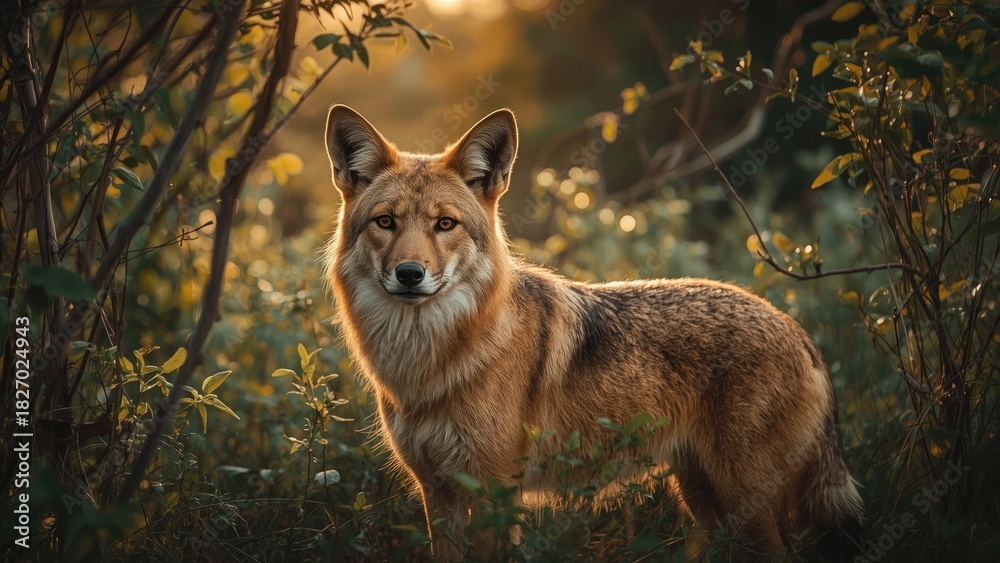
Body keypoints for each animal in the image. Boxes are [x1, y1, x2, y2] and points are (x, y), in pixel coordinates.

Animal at [322, 104, 863, 561]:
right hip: (704, 501)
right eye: (386, 222)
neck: (427, 363)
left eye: (445, 224)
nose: (410, 274)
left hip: (745, 503)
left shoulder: (496, 493)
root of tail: (797, 329)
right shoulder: (439, 494)